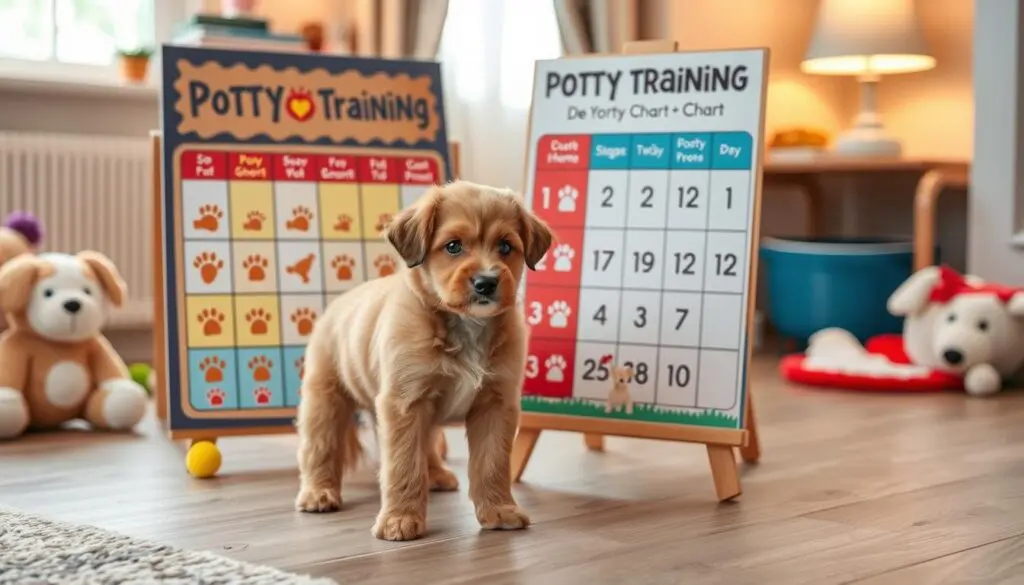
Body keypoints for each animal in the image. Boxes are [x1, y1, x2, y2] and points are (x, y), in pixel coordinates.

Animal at [292, 181, 557, 540]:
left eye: (505, 246)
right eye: (453, 246)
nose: (486, 282)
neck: (464, 326)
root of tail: (338, 304)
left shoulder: (494, 403)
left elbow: (492, 463)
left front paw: (500, 510)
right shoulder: (405, 402)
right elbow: (403, 464)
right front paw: (400, 519)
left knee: (428, 443)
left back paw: (436, 474)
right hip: (325, 400)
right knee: (320, 447)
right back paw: (318, 492)